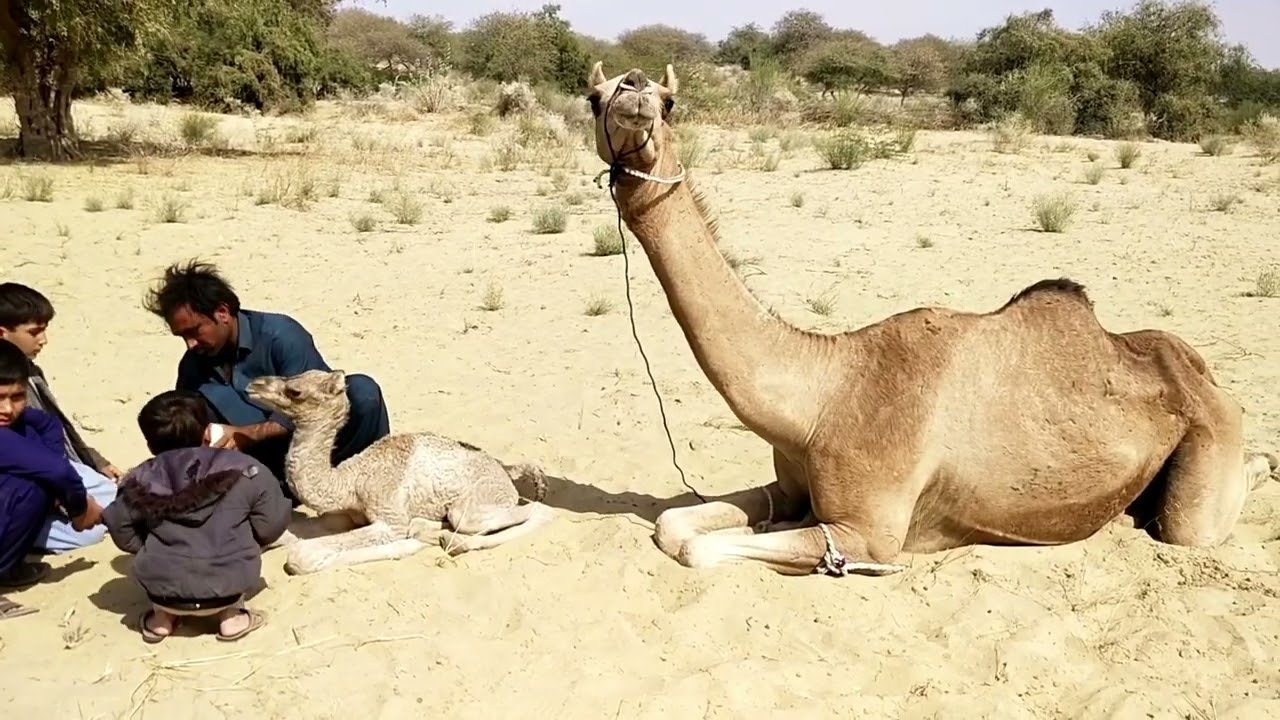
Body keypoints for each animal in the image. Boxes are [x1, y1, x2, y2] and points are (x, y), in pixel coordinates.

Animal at [245, 369, 555, 574]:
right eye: (288, 376)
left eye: (295, 391)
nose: (253, 384)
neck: (350, 481)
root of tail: (506, 473)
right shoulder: (348, 515)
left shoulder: (389, 516)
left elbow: (302, 555)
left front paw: (408, 546)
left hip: (481, 499)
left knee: (536, 511)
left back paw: (455, 542)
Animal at [584, 60, 1279, 577]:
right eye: (593, 98)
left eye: (672, 102)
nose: (634, 90)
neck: (820, 397)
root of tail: (1200, 370)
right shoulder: (791, 488)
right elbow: (675, 525)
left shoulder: (863, 531)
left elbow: (697, 548)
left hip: (1207, 446)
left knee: (1191, 525)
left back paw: (1263, 463)